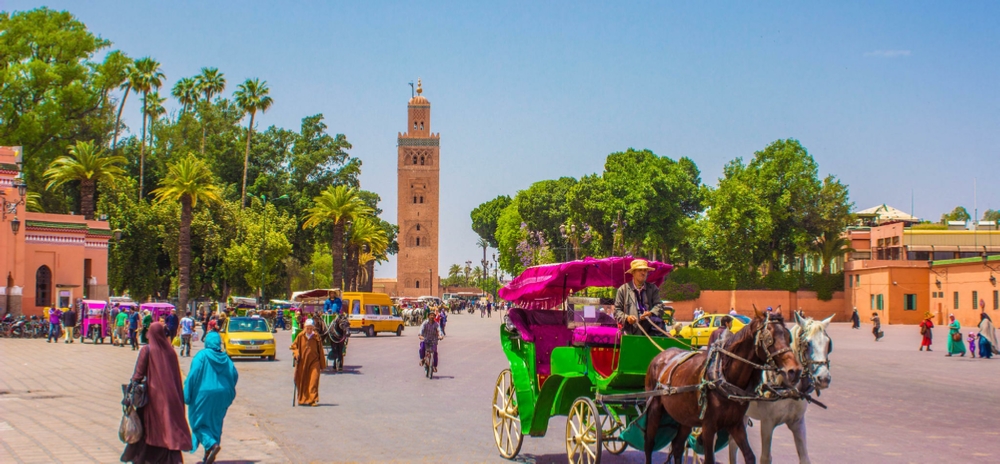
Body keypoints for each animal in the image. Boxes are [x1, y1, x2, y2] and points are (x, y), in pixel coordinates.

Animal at [644, 308, 800, 464]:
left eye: (788, 336)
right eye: (769, 339)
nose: (794, 370)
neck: (726, 379)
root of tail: (661, 355)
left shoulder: (735, 424)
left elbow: (750, 456)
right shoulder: (708, 427)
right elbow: (709, 459)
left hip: (684, 415)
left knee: (677, 446)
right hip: (654, 407)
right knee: (649, 443)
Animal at [728, 312, 836, 464]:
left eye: (829, 344)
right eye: (807, 344)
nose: (824, 378)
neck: (787, 389)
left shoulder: (798, 422)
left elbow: (805, 458)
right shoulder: (767, 422)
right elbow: (765, 458)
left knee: (732, 443)